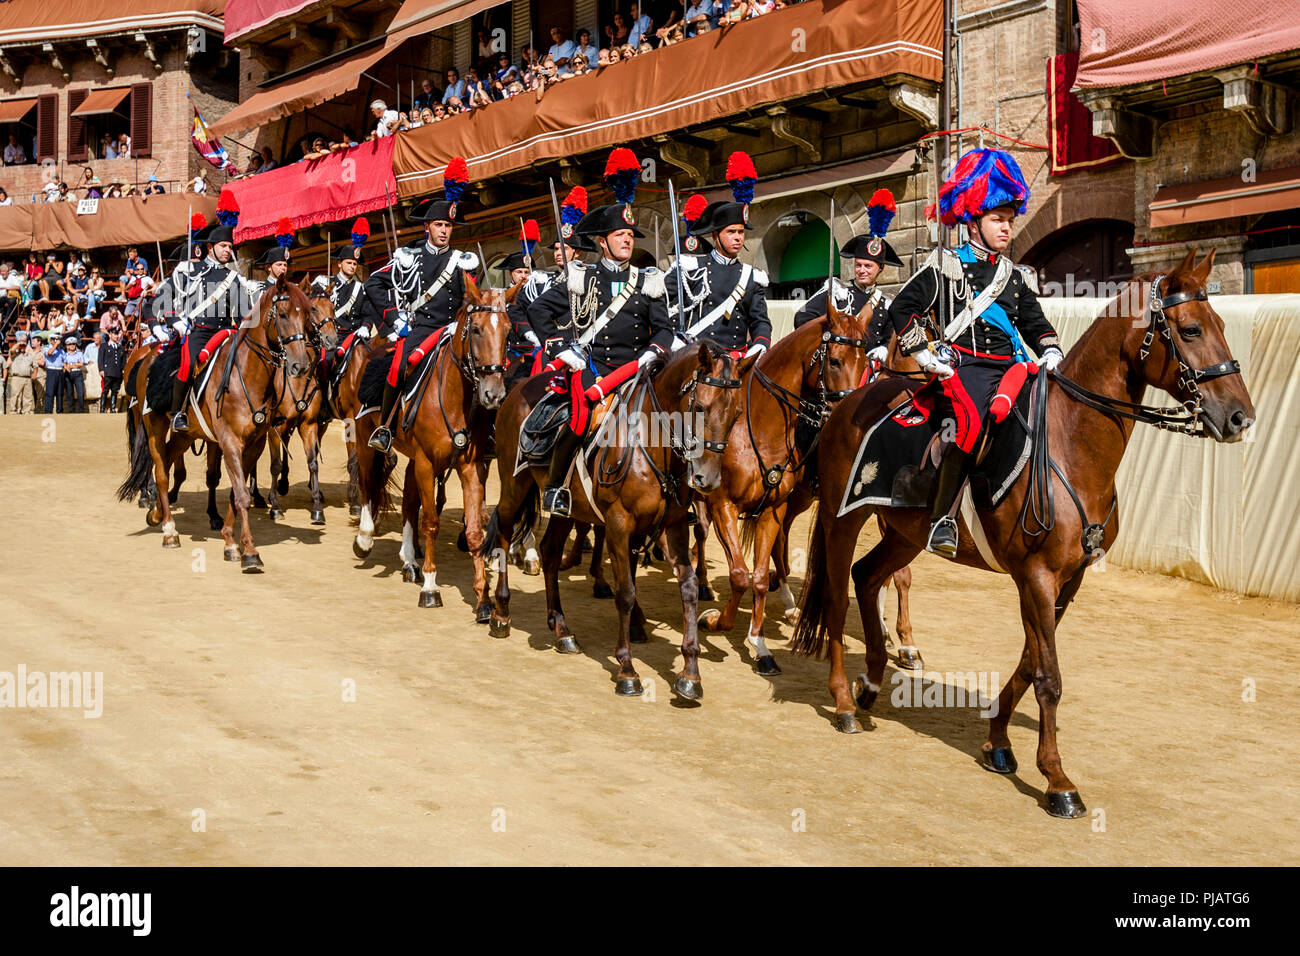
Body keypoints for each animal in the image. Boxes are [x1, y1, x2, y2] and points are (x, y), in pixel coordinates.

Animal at [118, 280, 317, 572]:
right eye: (282, 315)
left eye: (307, 317)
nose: (300, 365)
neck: (246, 375)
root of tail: (147, 357)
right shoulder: (229, 442)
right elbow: (242, 494)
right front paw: (250, 552)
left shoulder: (254, 444)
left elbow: (236, 493)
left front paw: (231, 542)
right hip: (153, 425)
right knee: (161, 472)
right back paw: (169, 530)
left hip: (187, 434)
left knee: (167, 459)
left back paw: (156, 514)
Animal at [351, 282, 512, 613]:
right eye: (476, 329)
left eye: (507, 332)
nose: (493, 394)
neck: (454, 397)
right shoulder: (426, 462)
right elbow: (431, 523)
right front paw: (430, 587)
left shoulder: (470, 466)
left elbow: (474, 530)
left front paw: (483, 599)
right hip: (365, 439)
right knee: (368, 481)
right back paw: (365, 539)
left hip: (415, 458)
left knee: (409, 500)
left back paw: (409, 561)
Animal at [480, 340, 759, 697]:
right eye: (701, 407)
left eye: (736, 414)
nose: (707, 480)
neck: (653, 445)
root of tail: (517, 387)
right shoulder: (618, 525)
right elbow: (625, 592)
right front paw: (627, 668)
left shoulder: (673, 526)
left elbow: (689, 589)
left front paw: (690, 672)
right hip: (515, 486)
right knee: (503, 533)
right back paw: (501, 613)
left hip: (567, 507)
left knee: (550, 552)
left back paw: (561, 629)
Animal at [785, 251, 1253, 816]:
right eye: (1189, 329)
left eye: (1221, 324)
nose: (1240, 417)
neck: (1072, 444)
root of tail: (849, 402)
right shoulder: (1037, 575)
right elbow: (1049, 676)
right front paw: (1057, 780)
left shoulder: (1068, 580)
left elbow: (1031, 663)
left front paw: (998, 743)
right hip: (842, 518)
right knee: (836, 596)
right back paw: (844, 703)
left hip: (904, 533)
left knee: (867, 576)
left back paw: (874, 680)